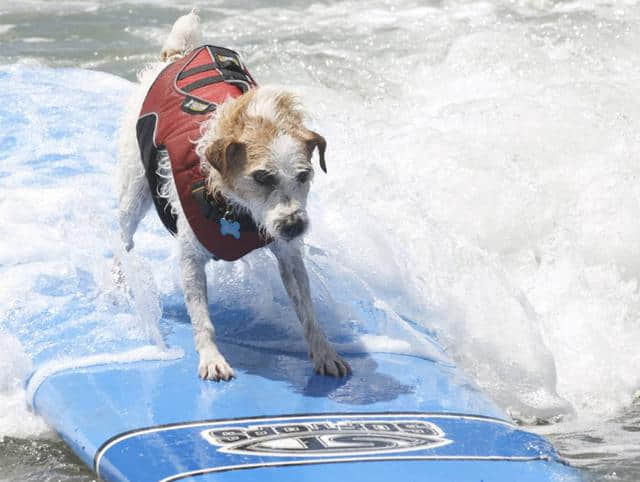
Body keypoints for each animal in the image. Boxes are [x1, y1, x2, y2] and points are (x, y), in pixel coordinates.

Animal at [115, 10, 350, 380]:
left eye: (304, 176)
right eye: (261, 177)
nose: (295, 226)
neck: (232, 205)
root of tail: (178, 56)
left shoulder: (288, 254)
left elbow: (307, 308)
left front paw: (324, 351)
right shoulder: (190, 257)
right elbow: (201, 316)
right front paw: (211, 357)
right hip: (133, 191)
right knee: (122, 237)